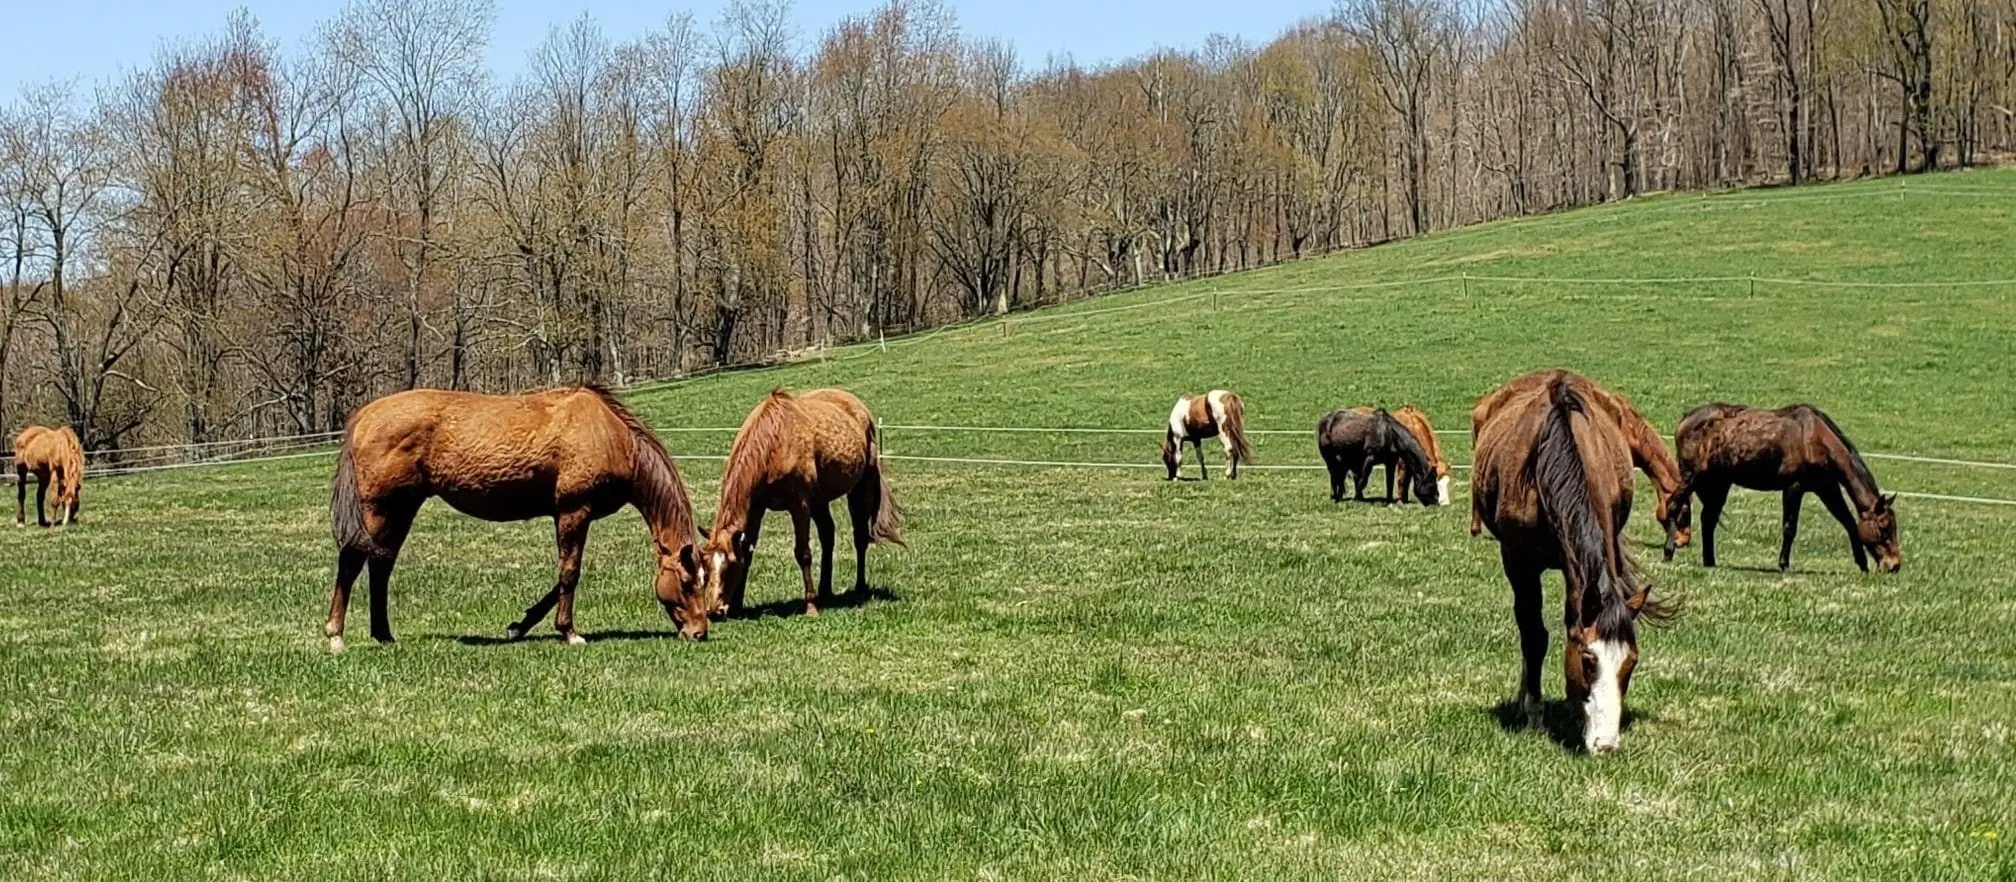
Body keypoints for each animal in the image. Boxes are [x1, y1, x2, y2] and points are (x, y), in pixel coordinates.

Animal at [325, 386, 706, 651]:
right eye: (687, 581)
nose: (699, 632)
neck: (608, 435)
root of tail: (365, 416)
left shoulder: (571, 516)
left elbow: (560, 579)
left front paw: (519, 626)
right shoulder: (574, 512)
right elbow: (570, 573)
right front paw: (569, 632)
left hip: (401, 509)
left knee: (381, 566)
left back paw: (384, 635)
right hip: (378, 509)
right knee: (352, 561)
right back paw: (335, 636)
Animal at [682, 388, 903, 640]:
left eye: (730, 565)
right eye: (705, 566)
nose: (714, 610)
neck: (774, 444)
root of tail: (858, 406)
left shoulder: (800, 506)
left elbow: (803, 553)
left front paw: (811, 607)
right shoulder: (756, 509)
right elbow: (748, 551)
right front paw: (738, 605)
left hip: (860, 487)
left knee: (860, 537)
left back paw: (859, 587)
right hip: (821, 501)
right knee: (828, 535)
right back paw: (825, 590)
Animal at [1669, 402, 1899, 574]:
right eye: (1884, 527)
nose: (1894, 566)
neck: (1813, 437)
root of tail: (1686, 419)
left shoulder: (1827, 488)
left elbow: (1848, 521)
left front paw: (1862, 563)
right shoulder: (1794, 487)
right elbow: (1789, 528)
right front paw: (1784, 565)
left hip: (1719, 484)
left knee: (1708, 519)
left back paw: (1710, 561)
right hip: (1693, 477)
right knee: (1673, 505)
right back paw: (1669, 551)